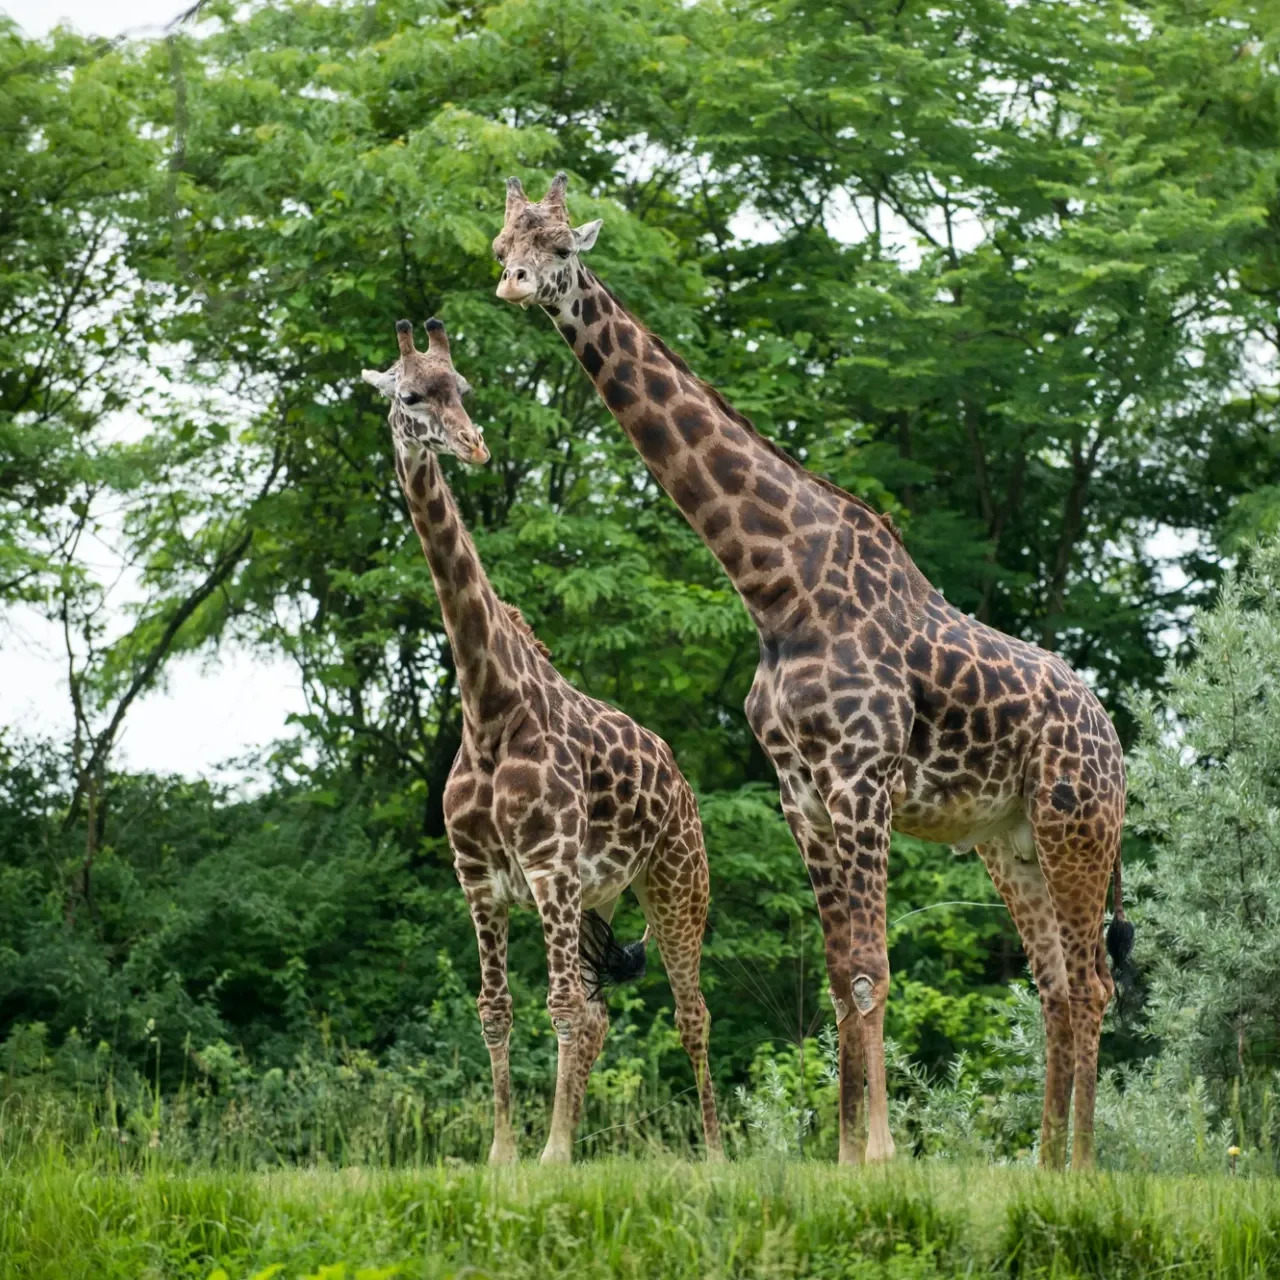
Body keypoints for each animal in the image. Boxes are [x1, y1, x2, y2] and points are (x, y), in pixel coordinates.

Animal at [363, 314, 721, 1167]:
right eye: (412, 396)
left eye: (464, 388)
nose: (475, 445)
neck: (490, 709)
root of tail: (680, 779)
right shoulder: (479, 878)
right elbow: (496, 1007)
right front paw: (506, 1154)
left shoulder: (550, 863)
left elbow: (558, 1006)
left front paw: (552, 1154)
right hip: (597, 897)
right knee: (599, 1013)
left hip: (675, 882)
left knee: (689, 1012)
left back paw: (716, 1152)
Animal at [488, 172, 1131, 1172]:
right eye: (502, 241)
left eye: (559, 247)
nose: (514, 285)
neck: (775, 587)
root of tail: (1114, 736)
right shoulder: (803, 795)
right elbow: (838, 975)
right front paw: (843, 1155)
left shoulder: (860, 779)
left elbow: (871, 970)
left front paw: (877, 1156)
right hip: (1010, 841)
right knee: (1058, 981)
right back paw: (1043, 1161)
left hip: (1078, 826)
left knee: (1096, 981)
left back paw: (1084, 1167)